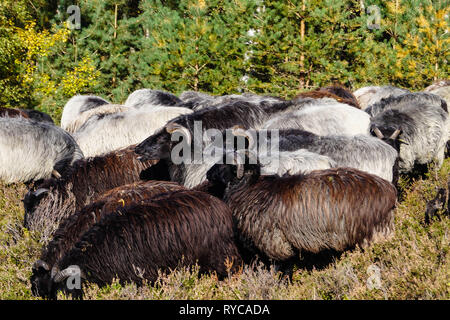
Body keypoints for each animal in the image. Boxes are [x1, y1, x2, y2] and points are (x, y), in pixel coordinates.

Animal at [205, 151, 398, 264]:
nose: (207, 173)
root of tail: (389, 190)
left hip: (374, 235)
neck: (249, 188)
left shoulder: (276, 246)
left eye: (224, 164)